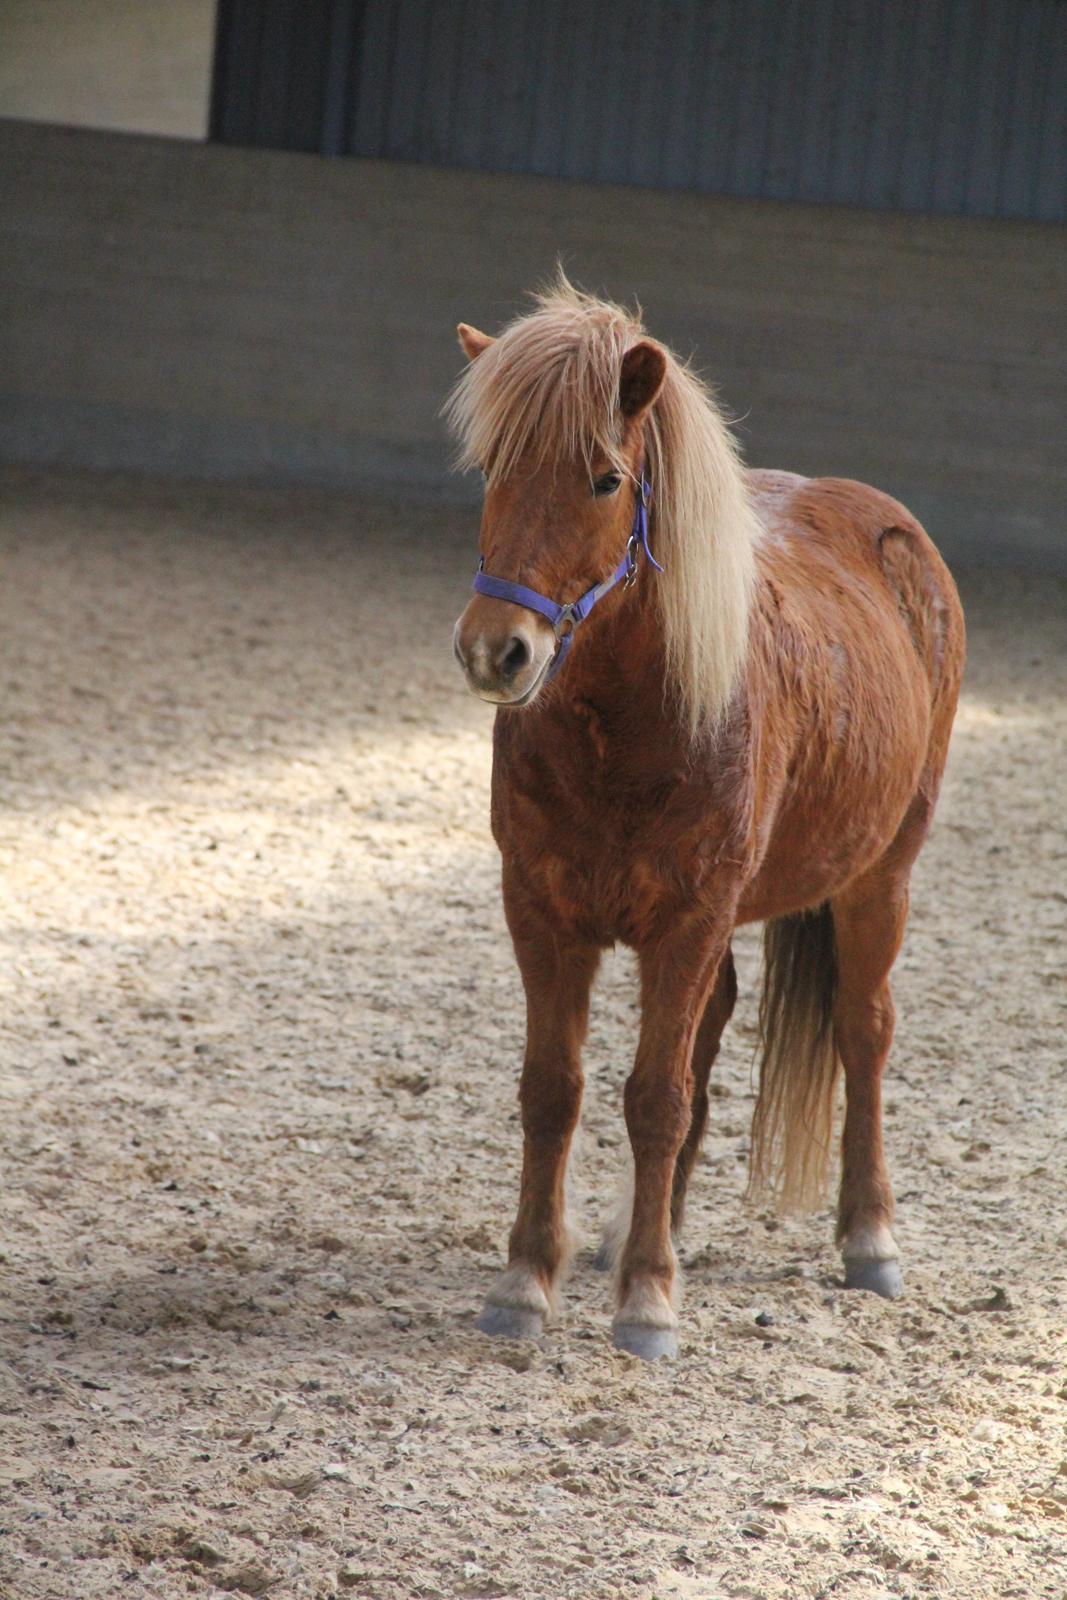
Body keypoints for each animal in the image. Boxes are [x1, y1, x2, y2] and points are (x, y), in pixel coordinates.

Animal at [447, 278, 966, 1363]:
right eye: (491, 469)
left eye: (603, 480)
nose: (495, 651)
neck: (626, 723)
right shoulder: (541, 913)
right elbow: (552, 1089)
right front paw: (528, 1280)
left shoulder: (684, 921)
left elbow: (655, 1094)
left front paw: (646, 1302)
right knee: (713, 1028)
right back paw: (656, 1226)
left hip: (879, 879)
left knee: (863, 1031)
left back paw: (868, 1241)